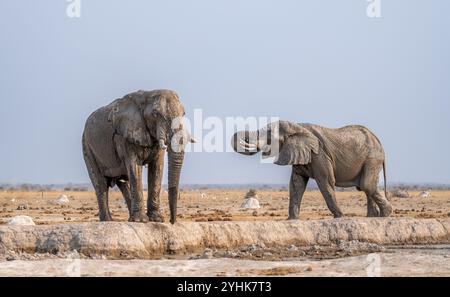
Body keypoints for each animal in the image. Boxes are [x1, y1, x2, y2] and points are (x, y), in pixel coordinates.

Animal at [82, 89, 193, 223]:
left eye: (184, 113)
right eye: (155, 114)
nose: (172, 221)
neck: (148, 95)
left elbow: (157, 168)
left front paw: (156, 219)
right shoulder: (125, 136)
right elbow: (135, 167)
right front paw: (142, 221)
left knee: (123, 182)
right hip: (87, 146)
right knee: (101, 183)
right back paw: (108, 221)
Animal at [234, 119, 392, 219]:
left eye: (268, 134)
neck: (296, 126)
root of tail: (379, 142)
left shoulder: (319, 154)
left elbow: (326, 182)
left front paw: (340, 217)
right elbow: (296, 184)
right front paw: (292, 219)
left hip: (372, 158)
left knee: (367, 185)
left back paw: (385, 215)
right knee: (368, 186)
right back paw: (372, 217)